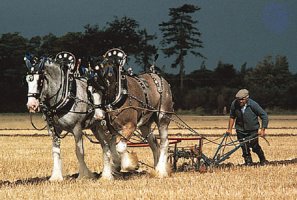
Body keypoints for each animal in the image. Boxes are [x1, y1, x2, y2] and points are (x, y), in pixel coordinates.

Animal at [86, 48, 172, 178]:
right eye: (89, 92)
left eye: (102, 89)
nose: (98, 116)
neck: (120, 94)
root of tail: (156, 75)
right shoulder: (114, 130)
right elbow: (112, 146)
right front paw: (115, 165)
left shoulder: (130, 126)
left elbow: (120, 148)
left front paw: (129, 164)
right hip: (145, 125)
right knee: (153, 143)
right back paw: (156, 168)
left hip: (163, 118)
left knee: (164, 142)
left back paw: (161, 170)